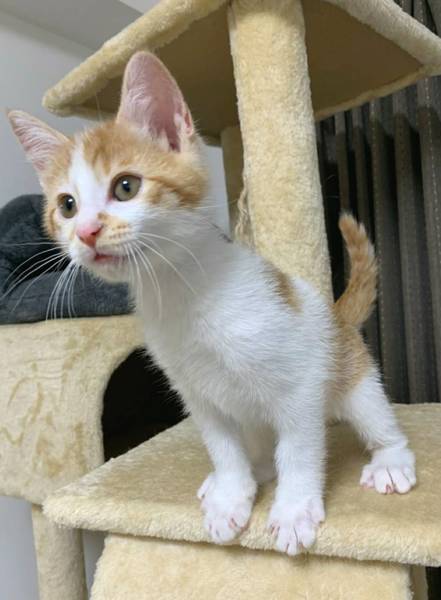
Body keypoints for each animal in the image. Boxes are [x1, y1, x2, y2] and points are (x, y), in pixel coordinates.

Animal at [8, 51, 416, 555]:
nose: (85, 232)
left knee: (375, 418)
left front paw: (294, 509)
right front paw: (230, 494)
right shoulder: (194, 390)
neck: (181, 293)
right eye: (66, 205)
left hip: (352, 376)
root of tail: (336, 316)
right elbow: (223, 446)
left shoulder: (299, 379)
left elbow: (299, 448)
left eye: (126, 187)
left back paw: (390, 461)